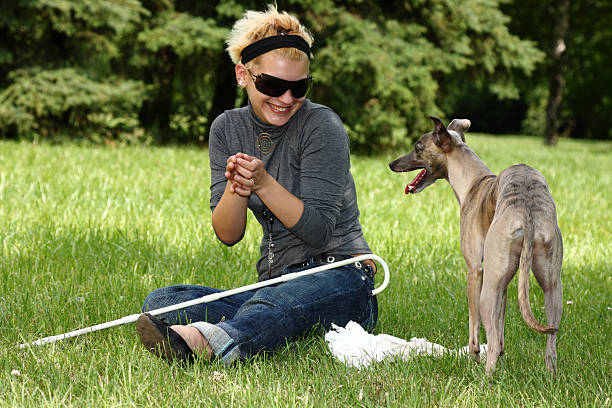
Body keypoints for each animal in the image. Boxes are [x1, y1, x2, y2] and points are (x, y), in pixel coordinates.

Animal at [390, 116, 560, 374]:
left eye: (418, 148)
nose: (391, 164)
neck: (474, 183)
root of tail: (527, 213)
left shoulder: (475, 271)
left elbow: (475, 327)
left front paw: (473, 358)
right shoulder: (503, 282)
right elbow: (500, 330)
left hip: (487, 292)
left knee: (489, 336)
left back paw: (485, 378)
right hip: (551, 287)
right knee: (551, 344)